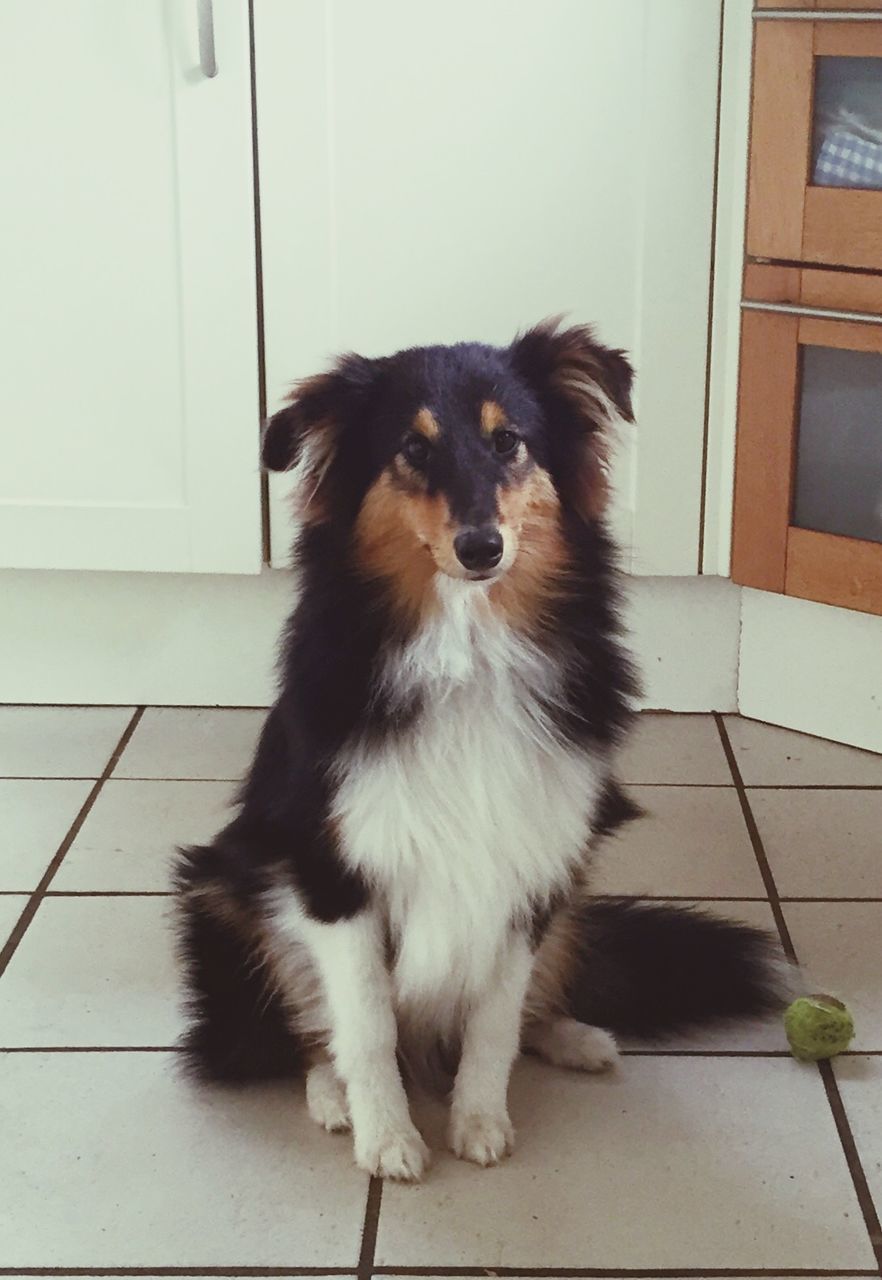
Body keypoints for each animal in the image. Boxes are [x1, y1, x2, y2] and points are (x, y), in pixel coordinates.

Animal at [171, 317, 783, 1177]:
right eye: (412, 449)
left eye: (508, 441)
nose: (481, 546)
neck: (467, 647)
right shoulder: (331, 871)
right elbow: (367, 1025)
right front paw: (389, 1138)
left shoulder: (531, 861)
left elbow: (496, 1018)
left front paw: (480, 1119)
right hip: (223, 887)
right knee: (302, 1032)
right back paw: (332, 1098)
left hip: (571, 888)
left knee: (534, 1001)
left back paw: (576, 1037)